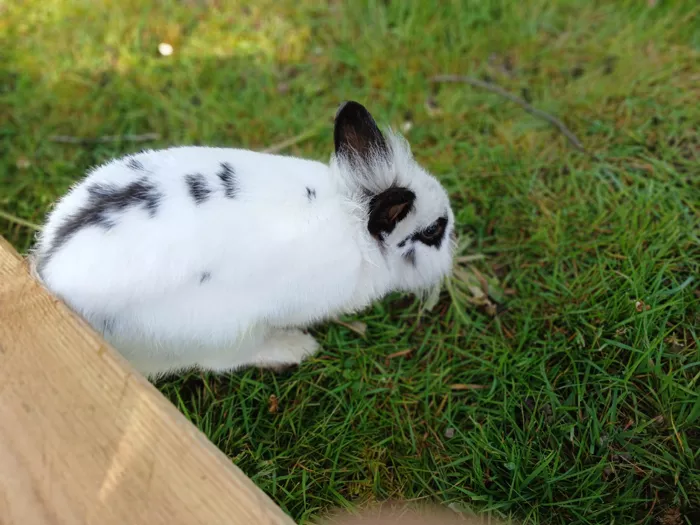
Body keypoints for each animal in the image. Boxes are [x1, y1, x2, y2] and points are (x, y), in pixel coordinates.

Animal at [29, 101, 456, 378]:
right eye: (432, 231)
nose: (453, 250)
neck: (355, 223)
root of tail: (51, 272)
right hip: (224, 332)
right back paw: (295, 348)